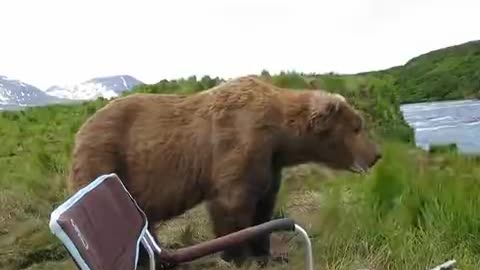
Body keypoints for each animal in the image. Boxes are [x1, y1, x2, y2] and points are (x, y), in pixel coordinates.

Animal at [68, 75, 382, 266]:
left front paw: (265, 253)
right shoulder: (238, 145)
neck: (279, 136)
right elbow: (232, 206)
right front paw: (238, 256)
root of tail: (80, 130)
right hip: (106, 159)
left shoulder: (269, 164)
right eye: (357, 127)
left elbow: (264, 207)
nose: (376, 155)